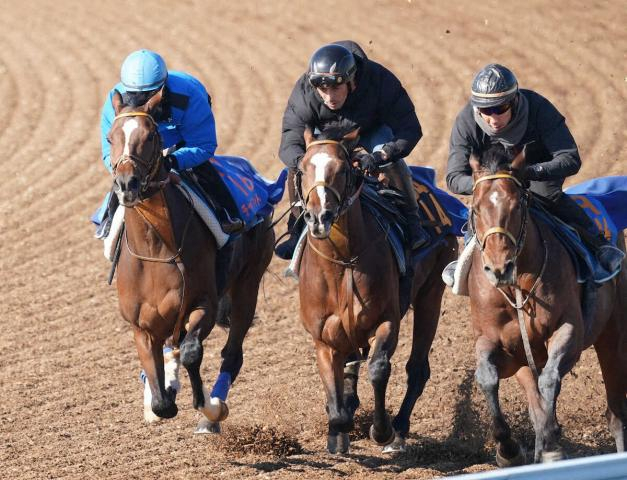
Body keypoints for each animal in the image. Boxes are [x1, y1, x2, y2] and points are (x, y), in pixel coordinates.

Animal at [107, 90, 274, 432]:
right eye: (109, 138)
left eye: (151, 136)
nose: (127, 184)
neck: (156, 249)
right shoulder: (141, 326)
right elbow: (159, 395)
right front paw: (160, 396)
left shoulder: (202, 304)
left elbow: (192, 353)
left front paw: (209, 408)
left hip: (247, 284)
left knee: (231, 353)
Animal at [296, 125, 458, 452]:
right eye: (301, 169)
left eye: (343, 169)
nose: (319, 218)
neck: (343, 261)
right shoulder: (324, 337)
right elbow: (336, 391)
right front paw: (337, 432)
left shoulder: (385, 321)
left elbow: (379, 368)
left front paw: (381, 430)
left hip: (431, 293)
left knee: (417, 369)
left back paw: (400, 430)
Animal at [468, 145, 624, 464]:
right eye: (476, 209)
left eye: (517, 205)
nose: (499, 268)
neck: (516, 287)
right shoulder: (498, 344)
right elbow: (488, 378)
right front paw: (509, 450)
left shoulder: (568, 329)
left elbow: (550, 381)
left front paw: (551, 445)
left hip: (612, 333)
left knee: (616, 412)